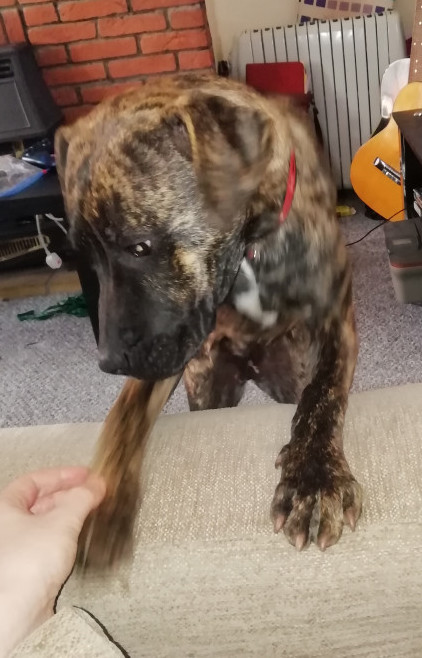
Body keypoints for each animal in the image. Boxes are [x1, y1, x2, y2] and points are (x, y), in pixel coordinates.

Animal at [55, 72, 362, 568]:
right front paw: (101, 512)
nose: (110, 362)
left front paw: (314, 480)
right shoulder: (165, 347)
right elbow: (122, 422)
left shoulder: (335, 320)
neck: (250, 250)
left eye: (140, 246)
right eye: (86, 258)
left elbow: (323, 395)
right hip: (206, 385)